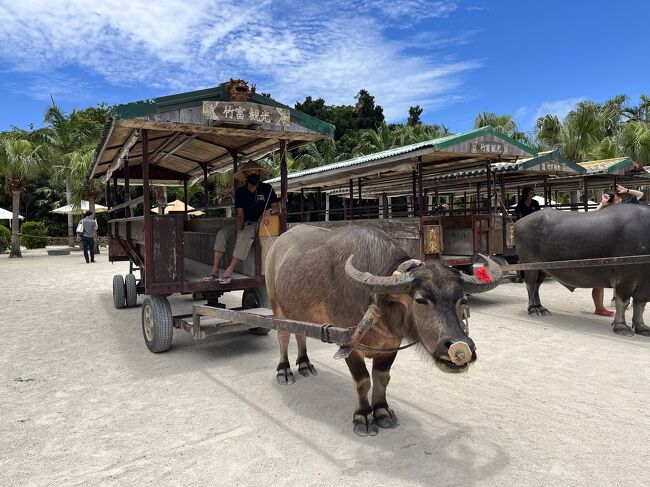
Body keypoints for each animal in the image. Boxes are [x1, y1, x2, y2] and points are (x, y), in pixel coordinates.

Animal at [264, 225, 502, 438]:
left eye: (462, 300)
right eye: (420, 300)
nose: (460, 346)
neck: (375, 299)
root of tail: (277, 243)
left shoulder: (391, 344)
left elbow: (382, 377)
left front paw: (382, 411)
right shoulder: (350, 345)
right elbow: (362, 380)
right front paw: (363, 417)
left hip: (298, 310)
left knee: (300, 333)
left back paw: (305, 364)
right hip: (276, 304)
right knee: (283, 335)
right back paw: (284, 371)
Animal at [512, 204, 648, 338]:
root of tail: (519, 222)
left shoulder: (643, 283)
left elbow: (640, 305)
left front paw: (642, 327)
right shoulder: (625, 279)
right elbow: (623, 303)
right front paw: (621, 327)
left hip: (543, 269)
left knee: (536, 286)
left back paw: (541, 308)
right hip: (531, 266)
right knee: (530, 285)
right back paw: (533, 309)